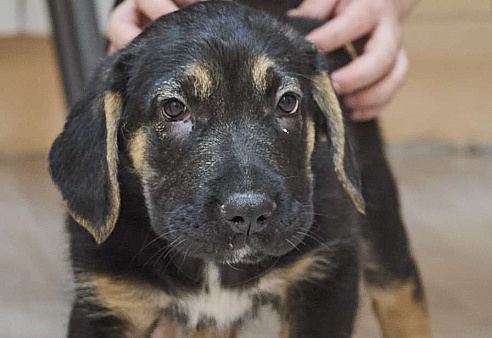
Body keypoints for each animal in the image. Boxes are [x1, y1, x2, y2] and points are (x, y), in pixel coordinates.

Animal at [50, 1, 432, 336]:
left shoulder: (324, 279)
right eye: (174, 108)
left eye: (288, 102)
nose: (249, 213)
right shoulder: (108, 301)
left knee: (401, 294)